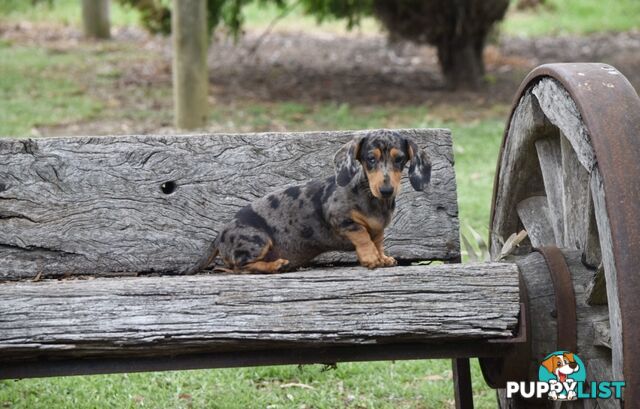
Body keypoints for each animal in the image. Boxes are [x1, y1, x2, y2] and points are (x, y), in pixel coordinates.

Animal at [198, 129, 432, 272]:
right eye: (370, 159)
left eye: (399, 159)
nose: (386, 190)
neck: (371, 198)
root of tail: (219, 235)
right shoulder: (340, 218)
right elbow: (362, 234)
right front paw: (371, 257)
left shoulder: (379, 229)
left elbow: (378, 241)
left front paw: (382, 257)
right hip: (258, 240)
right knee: (239, 267)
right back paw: (276, 266)